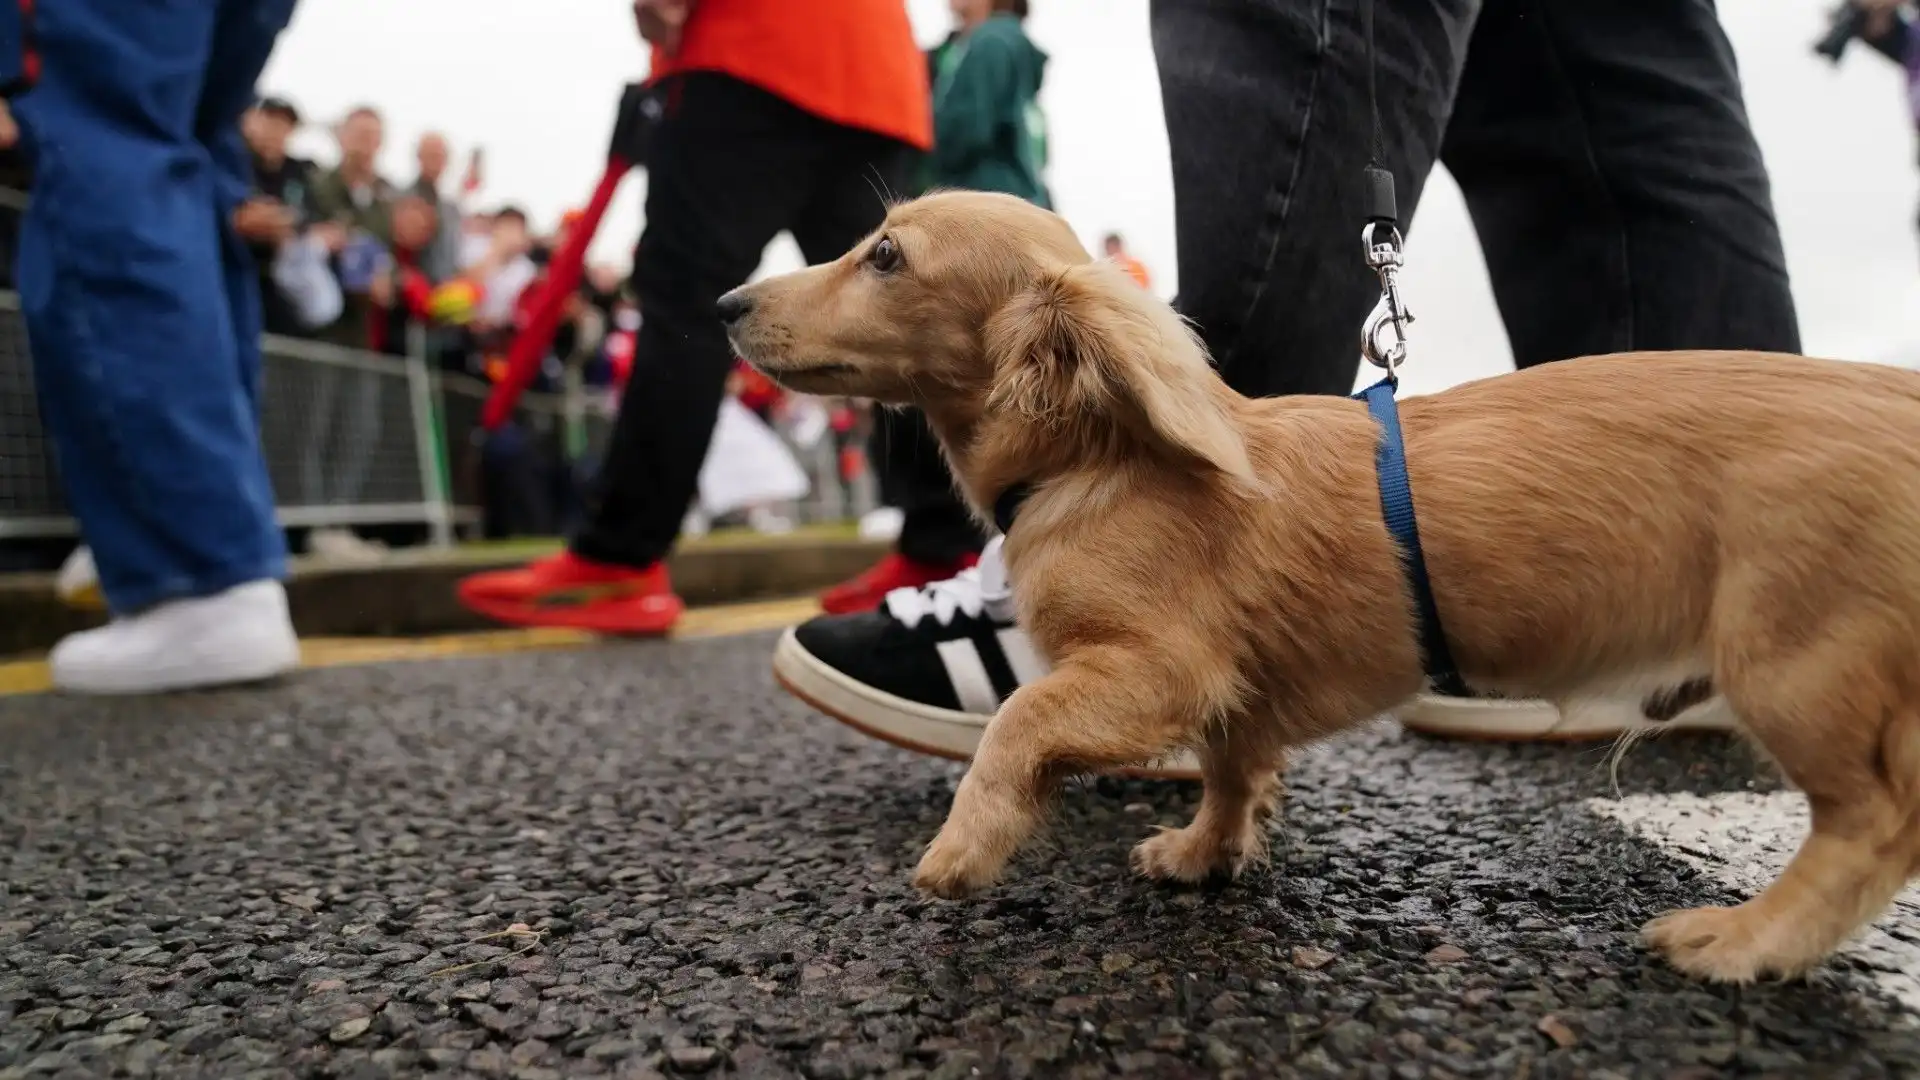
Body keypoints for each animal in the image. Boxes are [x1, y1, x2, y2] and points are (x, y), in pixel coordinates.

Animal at [718, 189, 1920, 980]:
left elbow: (1019, 722)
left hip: (1796, 664)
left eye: (885, 255)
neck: (1100, 462)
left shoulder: (1155, 670)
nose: (726, 302)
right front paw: (1205, 852)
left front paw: (963, 850)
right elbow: (1232, 771)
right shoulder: (1231, 695)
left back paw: (1748, 939)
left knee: (1872, 829)